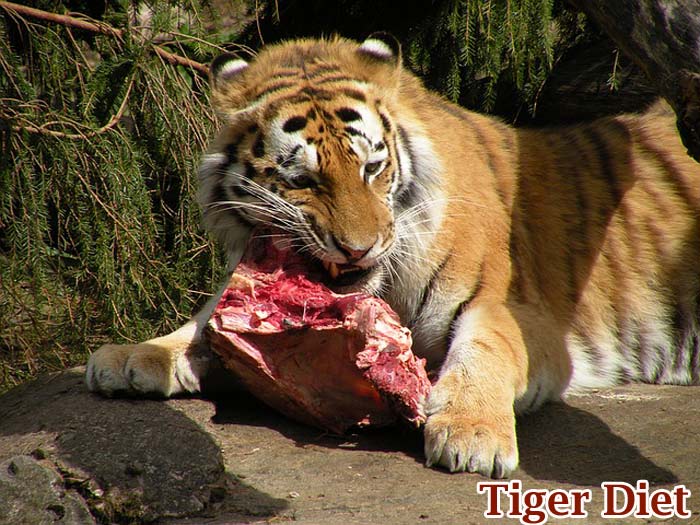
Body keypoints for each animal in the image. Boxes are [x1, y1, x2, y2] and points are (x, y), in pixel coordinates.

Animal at [86, 33, 700, 479]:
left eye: (372, 168)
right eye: (303, 180)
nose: (358, 246)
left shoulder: (514, 312)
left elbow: (485, 351)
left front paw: (471, 434)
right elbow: (203, 323)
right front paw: (133, 356)